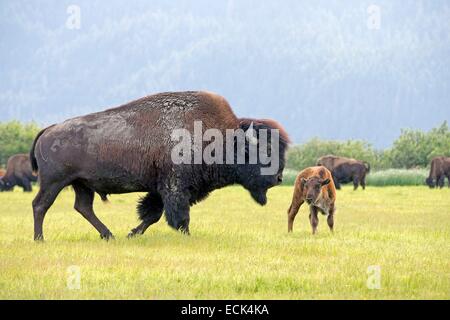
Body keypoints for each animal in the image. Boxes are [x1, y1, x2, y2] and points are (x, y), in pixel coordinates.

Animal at [29, 90, 290, 240]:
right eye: (264, 152)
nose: (278, 178)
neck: (221, 139)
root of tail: (48, 130)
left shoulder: (162, 189)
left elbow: (152, 214)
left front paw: (133, 234)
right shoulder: (175, 188)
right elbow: (178, 215)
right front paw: (186, 235)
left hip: (82, 184)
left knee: (83, 207)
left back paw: (109, 235)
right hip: (54, 182)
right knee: (40, 205)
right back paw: (40, 238)